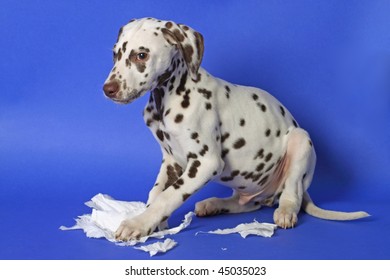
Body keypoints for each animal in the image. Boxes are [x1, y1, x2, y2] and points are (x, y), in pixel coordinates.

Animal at [102, 17, 368, 241]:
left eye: (141, 55)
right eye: (115, 55)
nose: (108, 89)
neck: (166, 98)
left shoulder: (205, 162)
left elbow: (168, 196)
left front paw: (138, 223)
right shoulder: (171, 161)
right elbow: (155, 192)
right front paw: (153, 222)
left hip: (301, 142)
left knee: (291, 192)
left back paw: (285, 211)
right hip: (247, 188)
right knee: (246, 203)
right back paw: (213, 204)